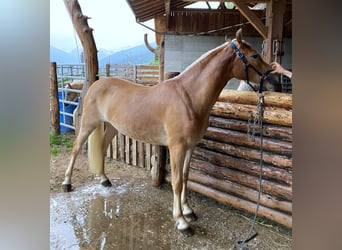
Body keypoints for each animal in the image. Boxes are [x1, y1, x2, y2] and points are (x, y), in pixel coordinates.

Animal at [62, 29, 276, 236]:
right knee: (75, 149)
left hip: (113, 127)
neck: (188, 97)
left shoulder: (190, 146)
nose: (274, 82)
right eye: (254, 55)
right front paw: (181, 221)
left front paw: (188, 210)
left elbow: (186, 177)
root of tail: (96, 84)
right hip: (89, 124)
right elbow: (177, 181)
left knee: (101, 148)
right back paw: (67, 183)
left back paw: (104, 179)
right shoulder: (176, 147)